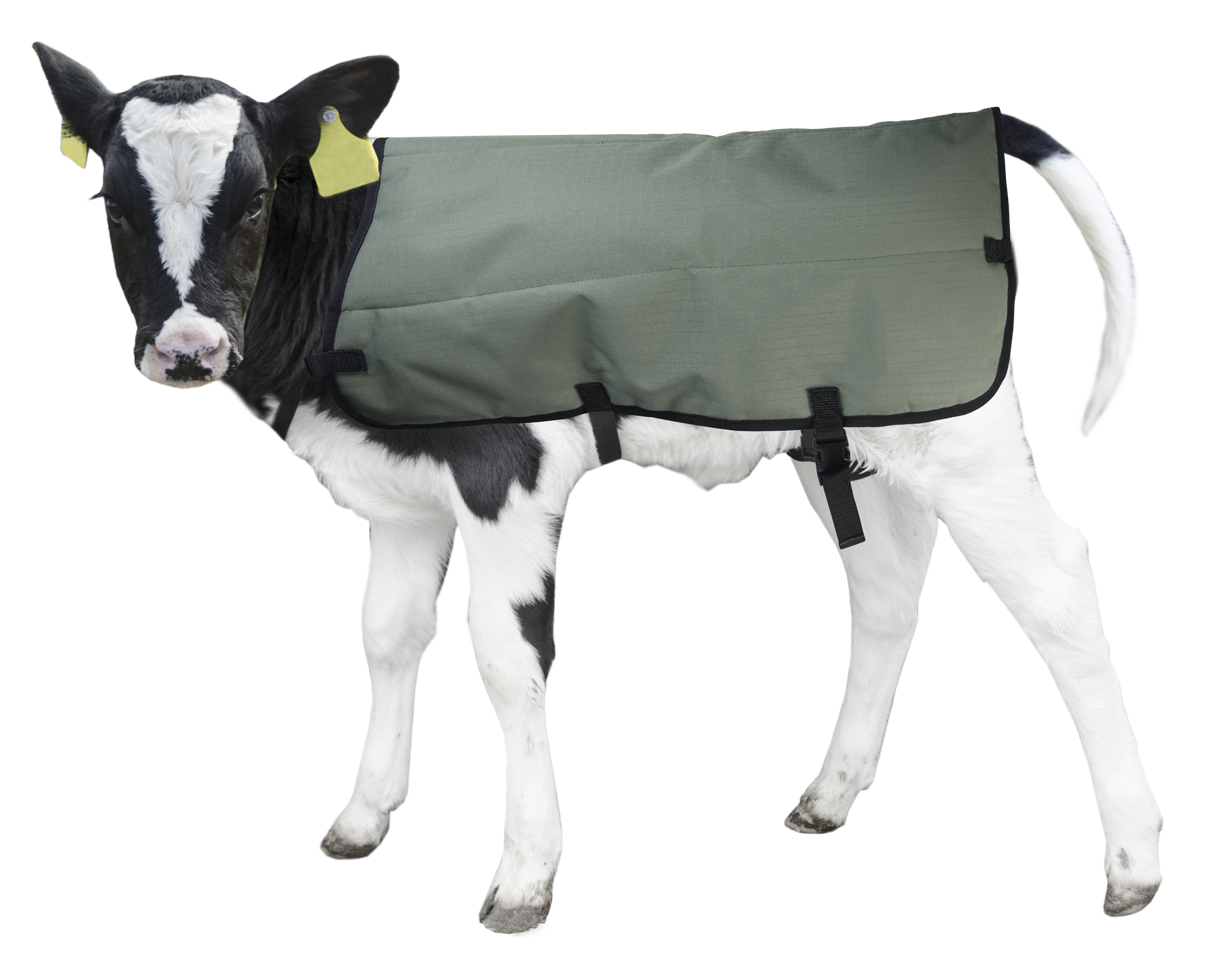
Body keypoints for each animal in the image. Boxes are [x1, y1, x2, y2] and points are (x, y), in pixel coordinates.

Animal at [33, 41, 1162, 936]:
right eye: (114, 208)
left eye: (260, 195)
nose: (187, 350)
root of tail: (964, 125)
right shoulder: (402, 487)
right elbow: (388, 633)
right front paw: (362, 815)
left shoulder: (507, 468)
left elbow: (507, 652)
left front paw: (524, 876)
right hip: (855, 435)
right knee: (886, 589)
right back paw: (829, 795)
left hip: (968, 435)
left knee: (1057, 586)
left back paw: (1133, 859)